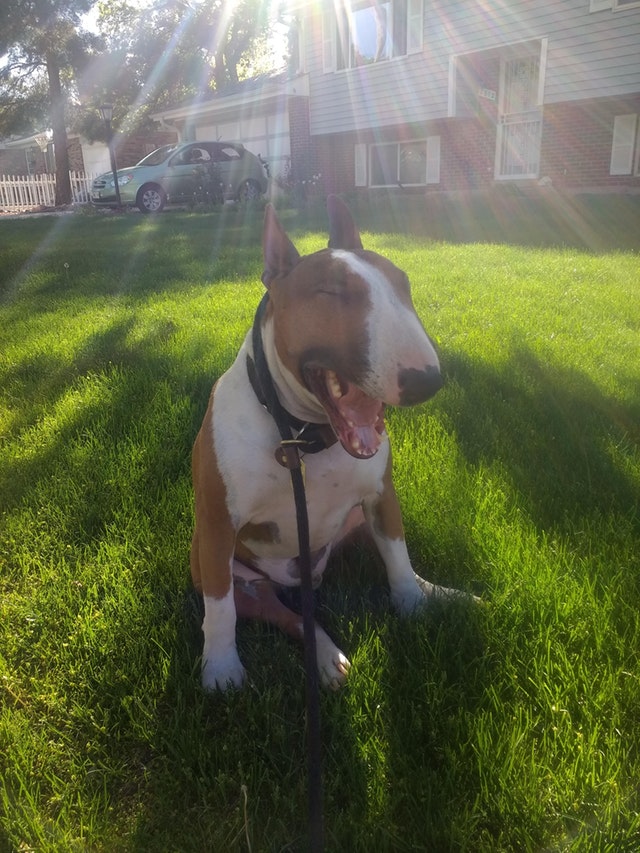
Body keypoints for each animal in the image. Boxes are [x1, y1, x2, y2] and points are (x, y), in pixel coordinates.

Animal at [190, 196, 460, 688]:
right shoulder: (218, 524)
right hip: (228, 571)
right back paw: (326, 656)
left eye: (404, 284)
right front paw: (220, 668)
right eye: (332, 292)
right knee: (290, 616)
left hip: (359, 523)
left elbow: (398, 561)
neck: (302, 435)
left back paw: (439, 594)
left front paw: (414, 606)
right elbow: (219, 611)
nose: (426, 381)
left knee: (395, 559)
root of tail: (304, 579)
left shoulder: (381, 495)